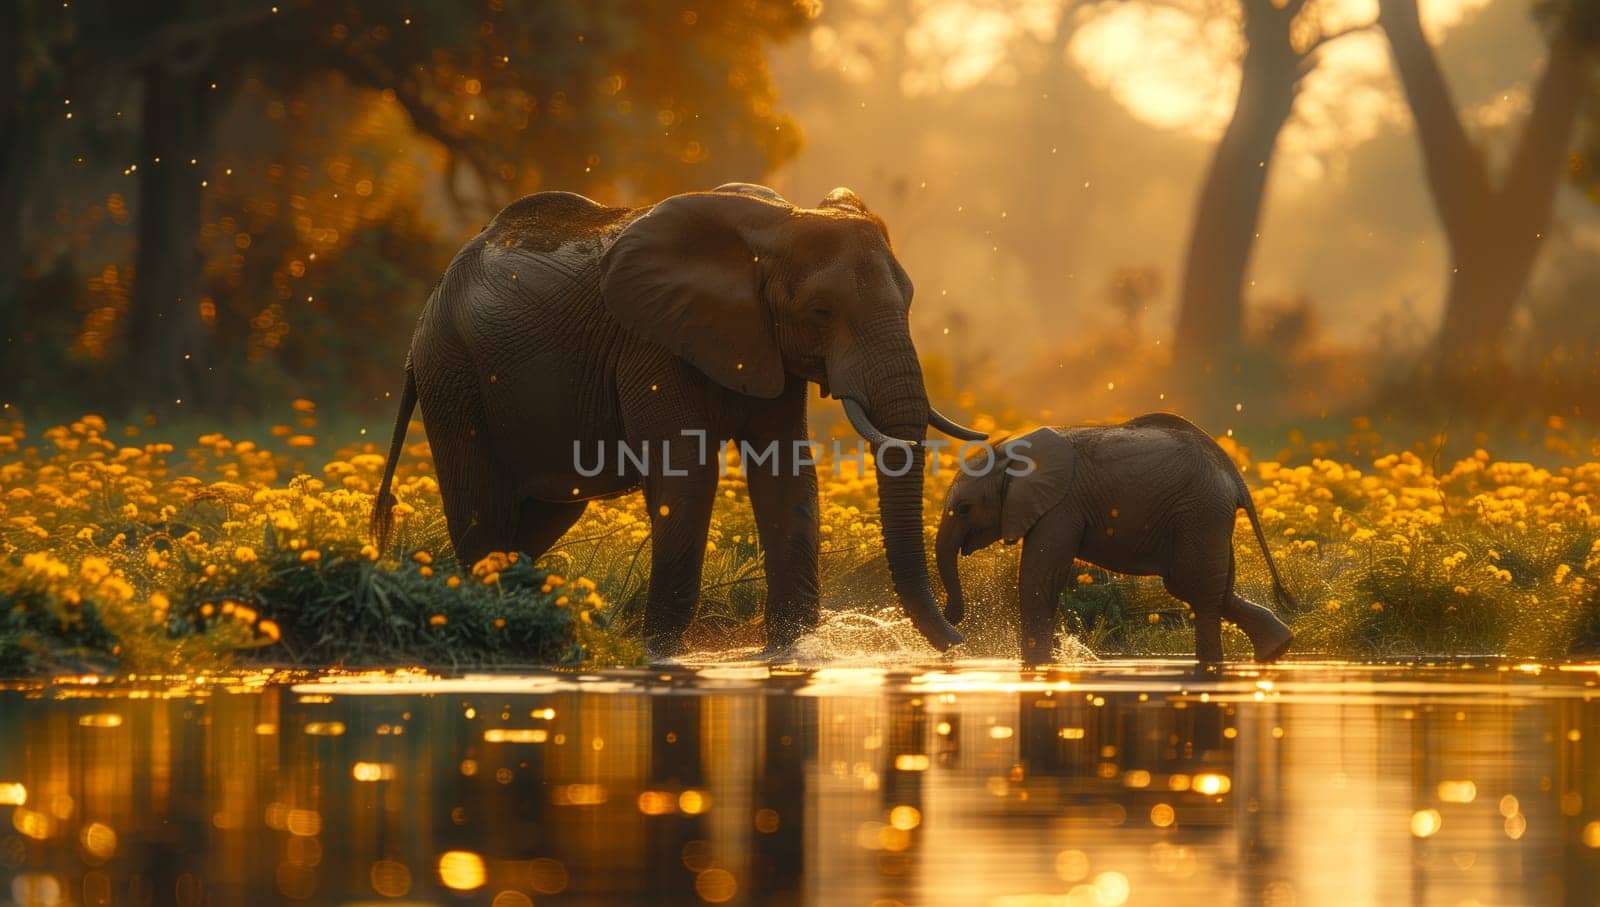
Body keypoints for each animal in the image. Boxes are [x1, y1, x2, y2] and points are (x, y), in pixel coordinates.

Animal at [372, 184, 979, 655]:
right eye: (821, 312)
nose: (959, 636)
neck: (777, 224)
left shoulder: (766, 347)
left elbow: (786, 473)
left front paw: (793, 648)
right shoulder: (651, 344)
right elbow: (686, 474)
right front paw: (660, 651)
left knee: (537, 518)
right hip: (453, 372)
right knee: (484, 510)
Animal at [934, 412, 1299, 668]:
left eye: (965, 508)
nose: (951, 617)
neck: (1010, 451)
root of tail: (1235, 478)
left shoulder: (1061, 506)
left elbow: (1040, 578)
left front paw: (1039, 666)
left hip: (1199, 513)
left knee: (1196, 591)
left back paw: (1215, 666)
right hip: (1205, 520)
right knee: (1209, 588)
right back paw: (1275, 649)